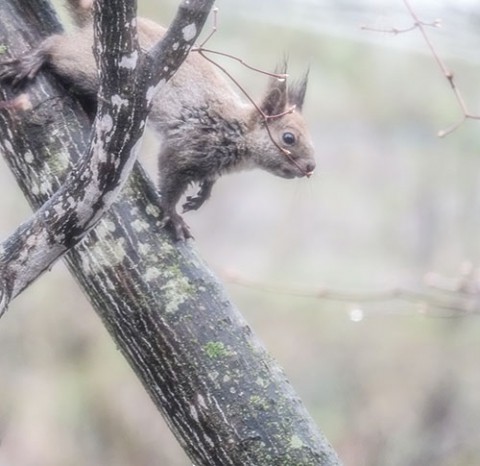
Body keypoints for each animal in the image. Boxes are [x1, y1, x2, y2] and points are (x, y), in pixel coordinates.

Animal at [0, 0, 316, 240]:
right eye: (289, 138)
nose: (311, 167)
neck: (238, 133)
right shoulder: (191, 142)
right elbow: (170, 178)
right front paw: (172, 214)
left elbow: (207, 179)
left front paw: (203, 194)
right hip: (85, 66)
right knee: (56, 47)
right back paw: (32, 60)